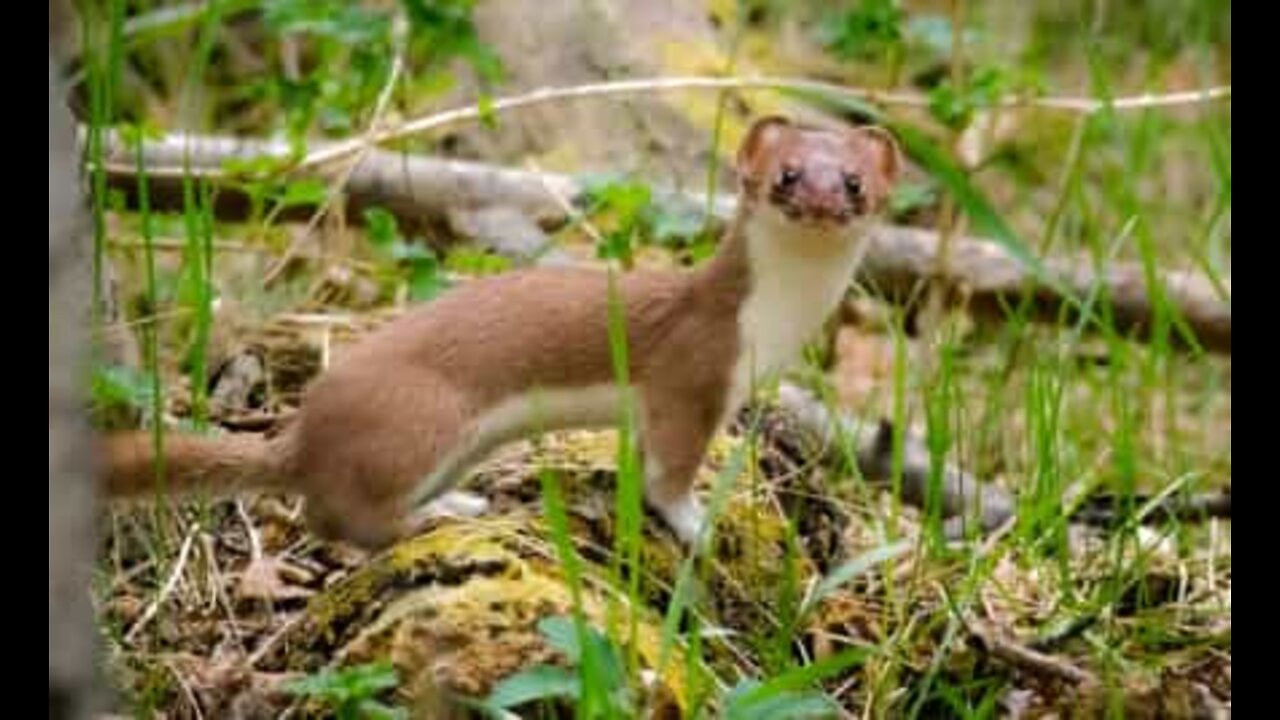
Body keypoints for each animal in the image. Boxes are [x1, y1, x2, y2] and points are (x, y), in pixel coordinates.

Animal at [102, 114, 901, 545]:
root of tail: (304, 428)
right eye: (787, 174)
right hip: (425, 419)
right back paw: (441, 512)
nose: (823, 202)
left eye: (854, 181)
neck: (774, 324)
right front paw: (695, 524)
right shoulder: (693, 378)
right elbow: (669, 474)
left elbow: (642, 459)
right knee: (340, 516)